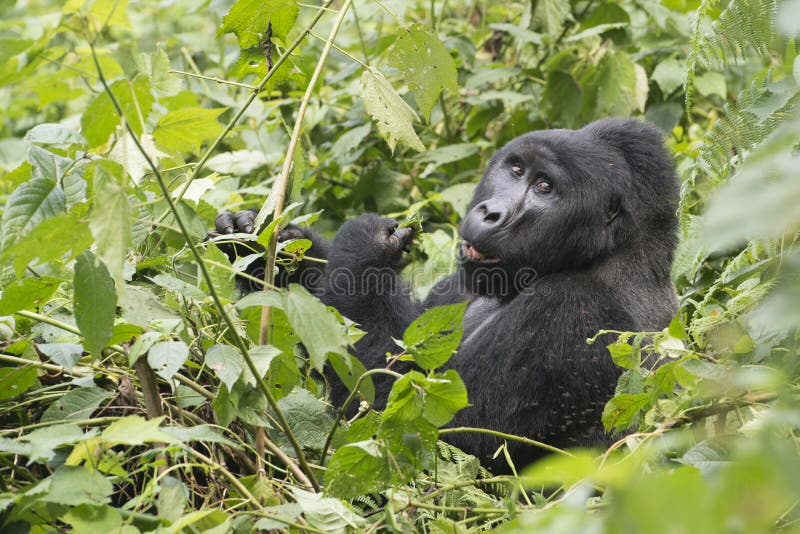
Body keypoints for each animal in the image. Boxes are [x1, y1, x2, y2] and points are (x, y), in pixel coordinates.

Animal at [216, 118, 680, 474]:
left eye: (545, 187)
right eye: (516, 170)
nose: (490, 213)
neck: (612, 252)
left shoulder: (572, 312)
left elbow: (414, 429)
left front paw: (367, 245)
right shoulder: (459, 283)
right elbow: (407, 332)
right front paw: (260, 244)